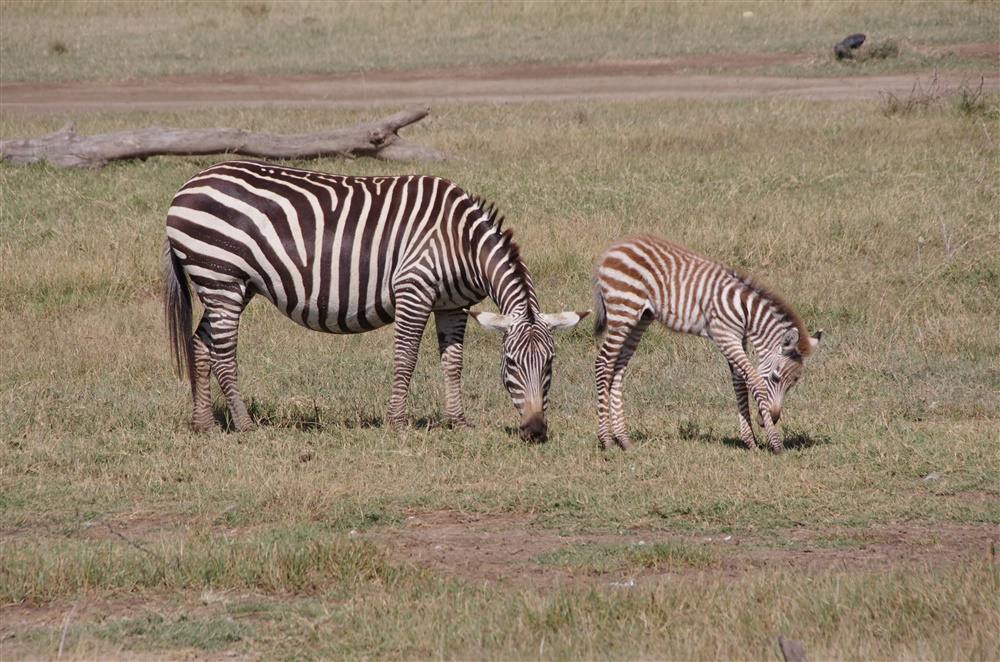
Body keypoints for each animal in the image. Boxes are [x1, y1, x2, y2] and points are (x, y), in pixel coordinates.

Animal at [164, 158, 584, 444]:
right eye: (510, 362)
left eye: (551, 363)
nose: (535, 431)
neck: (462, 242)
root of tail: (187, 185)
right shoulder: (414, 288)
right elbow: (406, 358)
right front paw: (397, 423)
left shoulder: (452, 305)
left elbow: (453, 364)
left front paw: (458, 422)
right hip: (221, 276)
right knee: (223, 354)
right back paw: (245, 425)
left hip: (227, 284)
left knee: (201, 343)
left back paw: (204, 424)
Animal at [592, 231, 820, 454]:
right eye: (775, 378)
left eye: (792, 384)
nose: (772, 418)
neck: (745, 312)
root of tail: (611, 250)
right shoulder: (724, 336)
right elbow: (754, 381)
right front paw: (774, 442)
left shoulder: (737, 338)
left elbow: (740, 382)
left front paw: (750, 441)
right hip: (623, 311)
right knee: (604, 363)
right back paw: (607, 440)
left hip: (640, 318)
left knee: (618, 369)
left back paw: (623, 439)